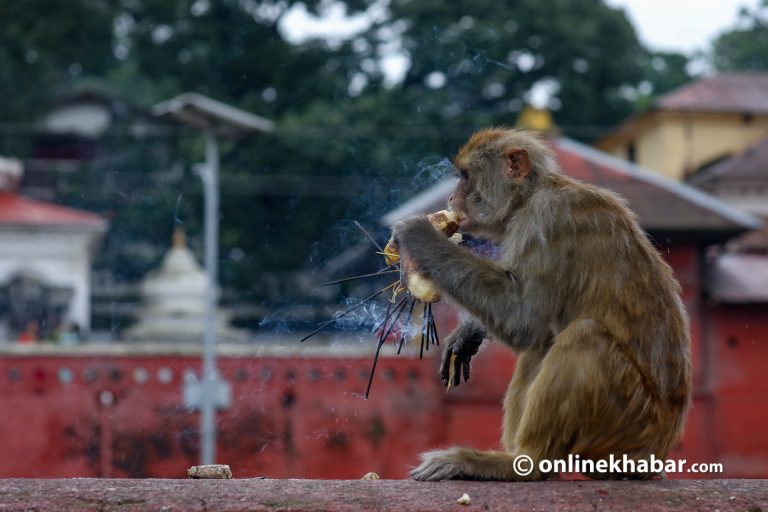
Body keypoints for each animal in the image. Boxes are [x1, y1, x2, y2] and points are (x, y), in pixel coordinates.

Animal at [392, 127, 692, 480]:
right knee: (543, 346)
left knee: (584, 336)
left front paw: (420, 235)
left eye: (465, 177)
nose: (452, 199)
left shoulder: (544, 222)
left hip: (629, 425)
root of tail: (655, 454)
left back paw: (521, 464)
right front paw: (469, 333)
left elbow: (524, 320)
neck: (530, 196)